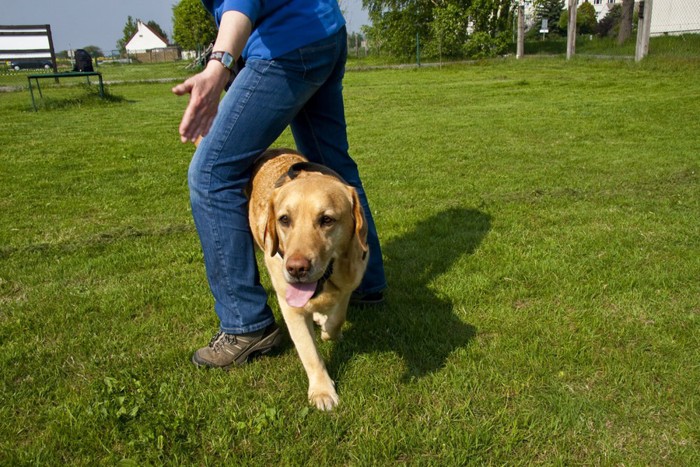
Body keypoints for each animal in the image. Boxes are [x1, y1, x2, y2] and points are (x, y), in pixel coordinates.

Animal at [250, 148, 372, 412]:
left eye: (327, 220)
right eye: (284, 219)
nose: (296, 268)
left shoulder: (349, 285)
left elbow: (337, 319)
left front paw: (327, 331)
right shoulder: (291, 309)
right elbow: (310, 353)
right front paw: (322, 391)